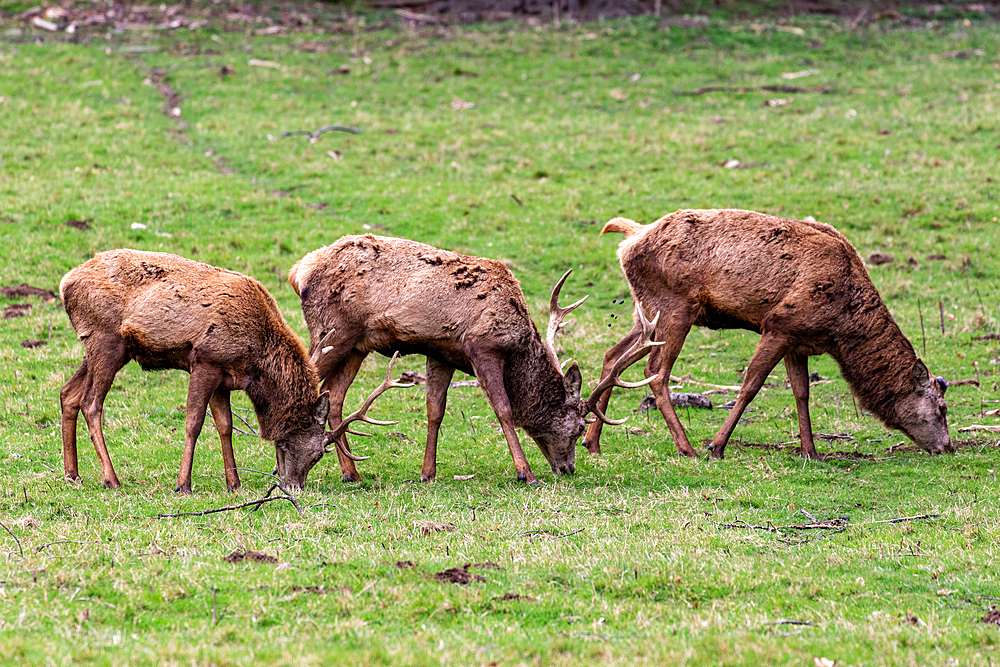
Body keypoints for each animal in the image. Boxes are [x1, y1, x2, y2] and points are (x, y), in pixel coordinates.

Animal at [58, 248, 408, 494]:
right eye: (317, 453)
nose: (293, 487)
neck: (257, 360)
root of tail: (64, 283)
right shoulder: (205, 359)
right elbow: (194, 423)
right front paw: (183, 484)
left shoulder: (225, 378)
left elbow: (225, 426)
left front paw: (234, 483)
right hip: (107, 340)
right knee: (91, 402)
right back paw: (111, 478)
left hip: (100, 348)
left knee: (68, 394)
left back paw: (72, 474)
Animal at [286, 235, 660, 486]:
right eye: (580, 427)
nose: (567, 468)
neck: (517, 345)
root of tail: (298, 271)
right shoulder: (482, 348)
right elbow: (504, 409)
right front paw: (525, 472)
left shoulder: (441, 353)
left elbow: (435, 411)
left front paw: (427, 473)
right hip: (332, 331)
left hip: (357, 345)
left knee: (333, 398)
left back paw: (352, 473)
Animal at [584, 209, 952, 460]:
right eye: (941, 408)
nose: (948, 446)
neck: (841, 330)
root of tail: (629, 240)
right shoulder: (779, 325)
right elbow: (751, 385)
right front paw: (717, 446)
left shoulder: (798, 341)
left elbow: (801, 393)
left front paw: (811, 451)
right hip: (676, 307)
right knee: (656, 371)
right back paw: (687, 447)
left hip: (644, 313)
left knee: (613, 356)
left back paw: (592, 440)